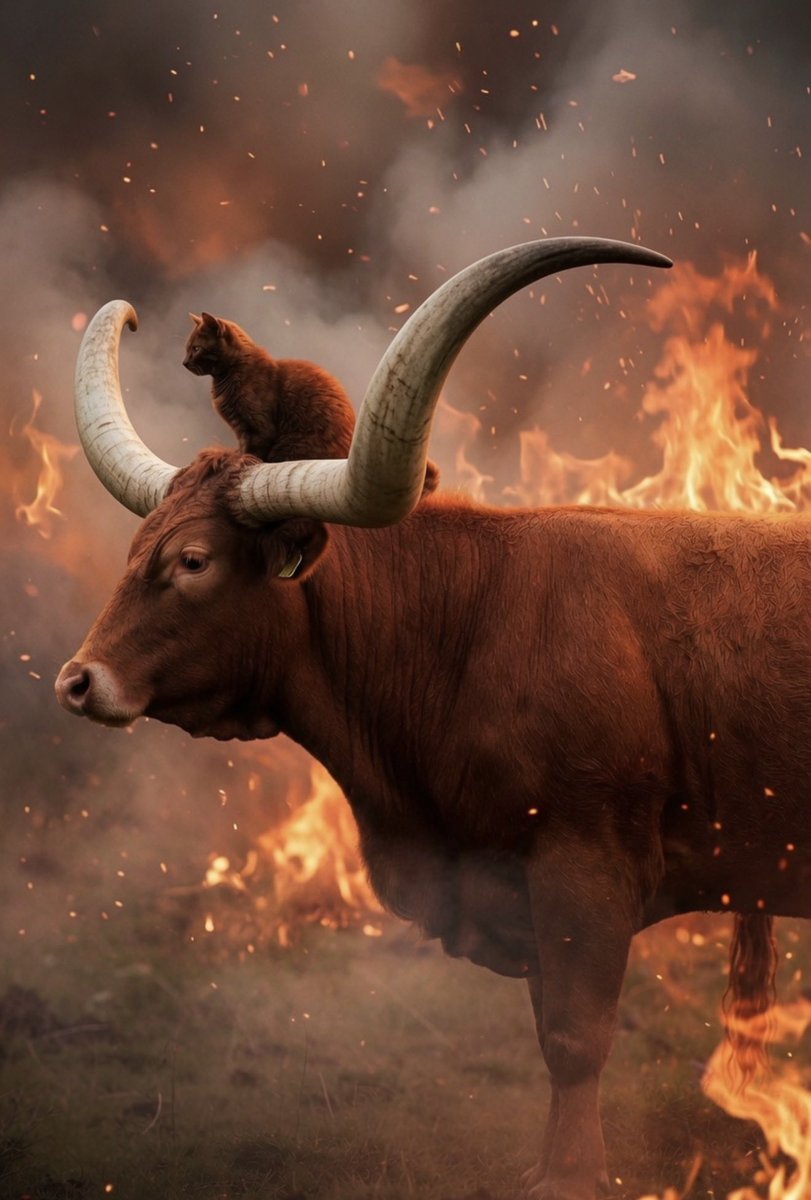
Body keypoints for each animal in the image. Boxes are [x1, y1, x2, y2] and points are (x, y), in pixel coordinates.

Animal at [54, 237, 803, 1199]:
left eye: (192, 561)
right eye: (136, 551)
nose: (79, 681)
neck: (468, 622)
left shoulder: (584, 868)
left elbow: (574, 1039)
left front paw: (568, 1175)